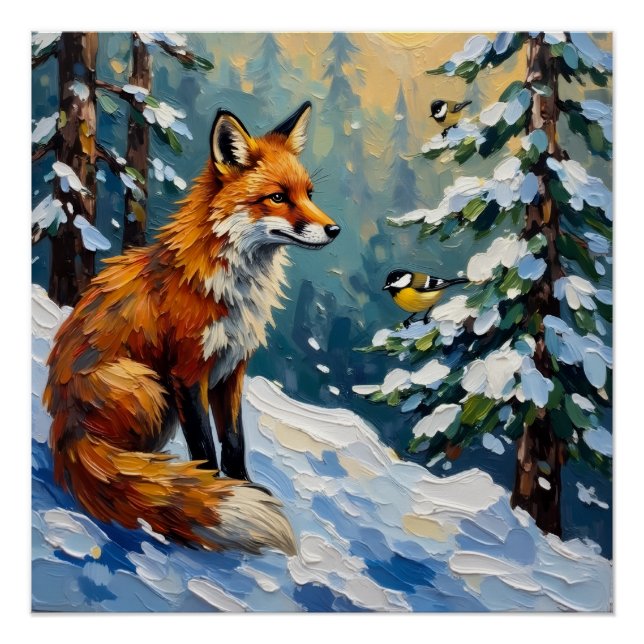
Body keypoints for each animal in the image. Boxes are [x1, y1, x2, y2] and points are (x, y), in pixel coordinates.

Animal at [43, 102, 340, 556]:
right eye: (277, 197)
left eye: (309, 194)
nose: (334, 229)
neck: (231, 291)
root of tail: (64, 429)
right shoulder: (187, 373)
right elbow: (204, 449)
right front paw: (212, 489)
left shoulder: (232, 369)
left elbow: (234, 441)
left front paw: (242, 485)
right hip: (148, 386)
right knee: (126, 463)